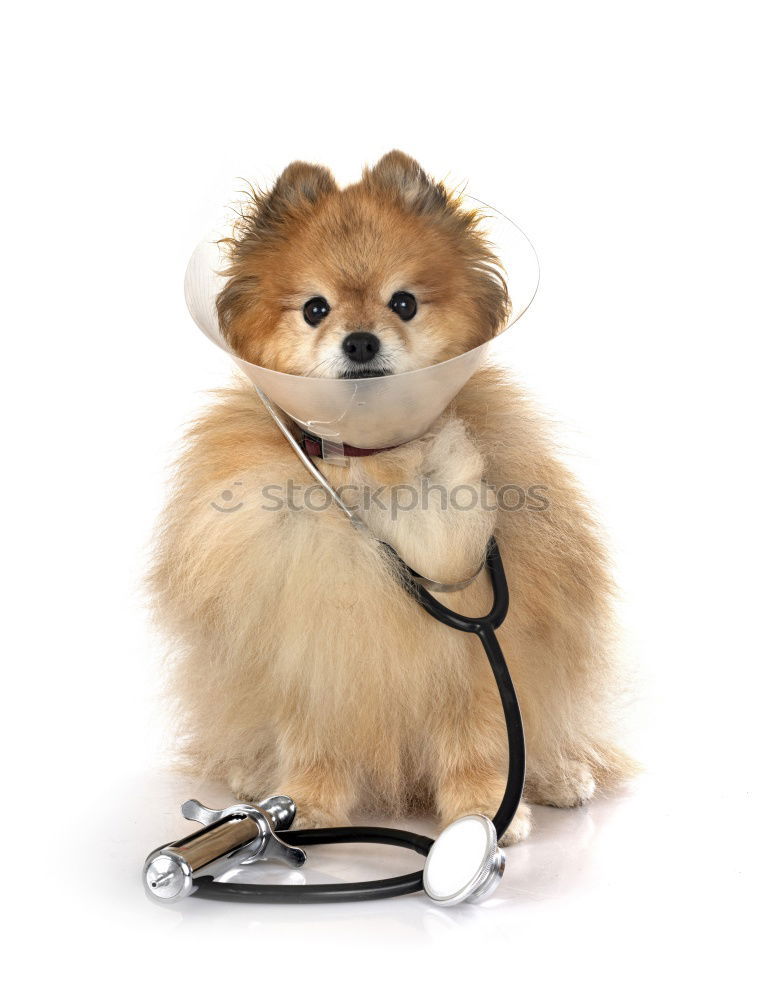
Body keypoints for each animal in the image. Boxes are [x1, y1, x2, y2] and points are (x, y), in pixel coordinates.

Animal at [151, 152, 632, 848]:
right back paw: (253, 775)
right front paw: (307, 802)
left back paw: (562, 775)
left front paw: (483, 811)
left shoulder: (470, 652)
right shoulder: (312, 639)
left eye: (403, 303)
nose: (359, 341)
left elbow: (477, 740)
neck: (375, 467)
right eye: (315, 309)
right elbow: (315, 737)